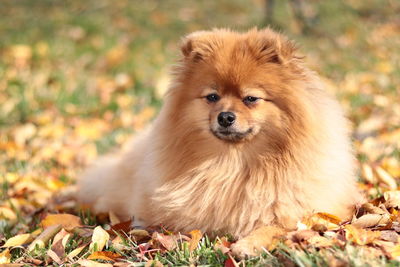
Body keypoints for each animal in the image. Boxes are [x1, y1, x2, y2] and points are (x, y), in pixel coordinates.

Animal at [78, 28, 362, 256]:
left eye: (251, 98)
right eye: (212, 97)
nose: (225, 117)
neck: (233, 164)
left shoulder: (314, 213)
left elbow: (276, 226)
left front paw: (248, 244)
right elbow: (174, 228)